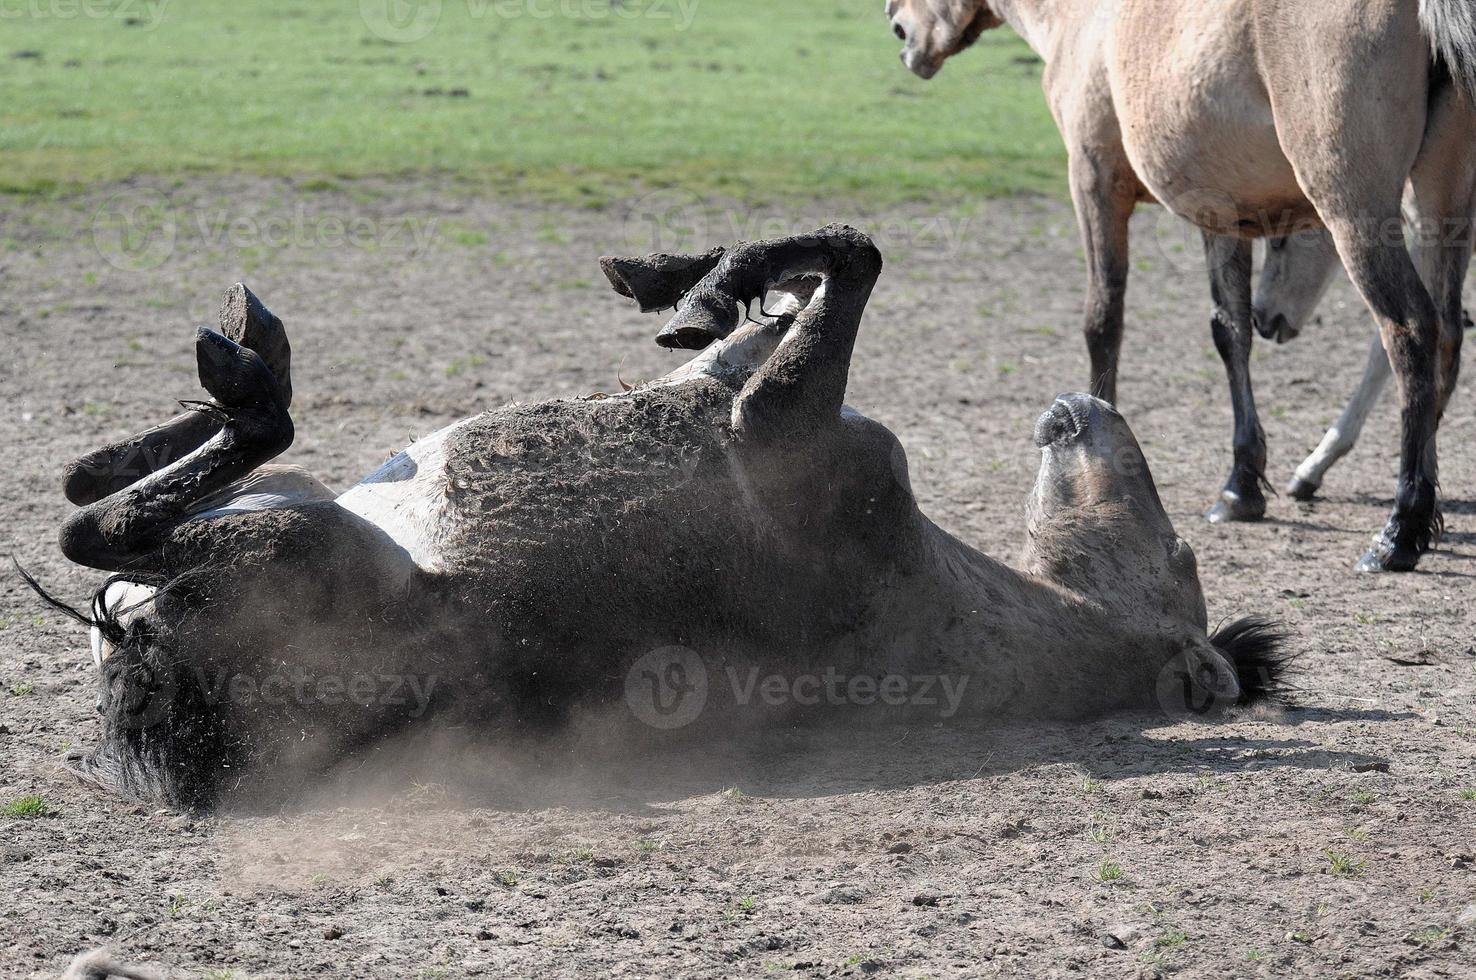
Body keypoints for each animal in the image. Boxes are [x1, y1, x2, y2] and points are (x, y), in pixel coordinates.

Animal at [885, 0, 1476, 569]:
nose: (897, 27)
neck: (1081, 16)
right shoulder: (1223, 216)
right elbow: (1230, 334)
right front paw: (1240, 487)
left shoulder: (1094, 183)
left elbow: (1104, 320)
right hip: (1441, 205)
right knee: (1446, 337)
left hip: (1355, 208)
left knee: (1407, 333)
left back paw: (1400, 528)